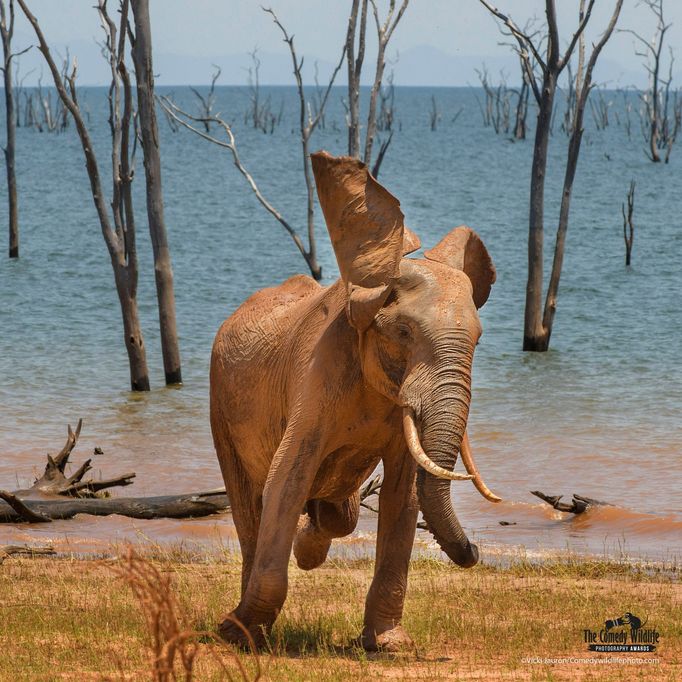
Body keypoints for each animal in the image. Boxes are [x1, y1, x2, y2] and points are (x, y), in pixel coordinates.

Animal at [210, 149, 502, 648]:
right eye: (402, 332)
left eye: (478, 342)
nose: (476, 551)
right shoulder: (319, 372)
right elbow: (286, 477)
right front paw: (238, 634)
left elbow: (404, 494)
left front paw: (388, 645)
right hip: (218, 403)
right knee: (248, 508)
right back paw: (242, 629)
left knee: (336, 514)